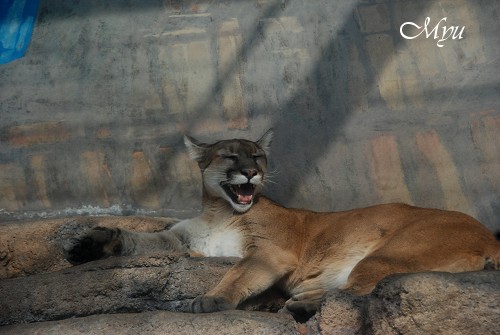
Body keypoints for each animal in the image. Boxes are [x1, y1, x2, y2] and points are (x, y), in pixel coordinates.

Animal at [64, 131, 498, 318]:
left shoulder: (270, 250)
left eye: (257, 155)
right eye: (232, 156)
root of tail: (489, 235)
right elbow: (143, 239)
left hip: (391, 251)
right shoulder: (181, 239)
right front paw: (89, 245)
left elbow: (237, 272)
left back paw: (302, 303)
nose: (252, 172)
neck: (219, 210)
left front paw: (209, 300)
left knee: (358, 291)